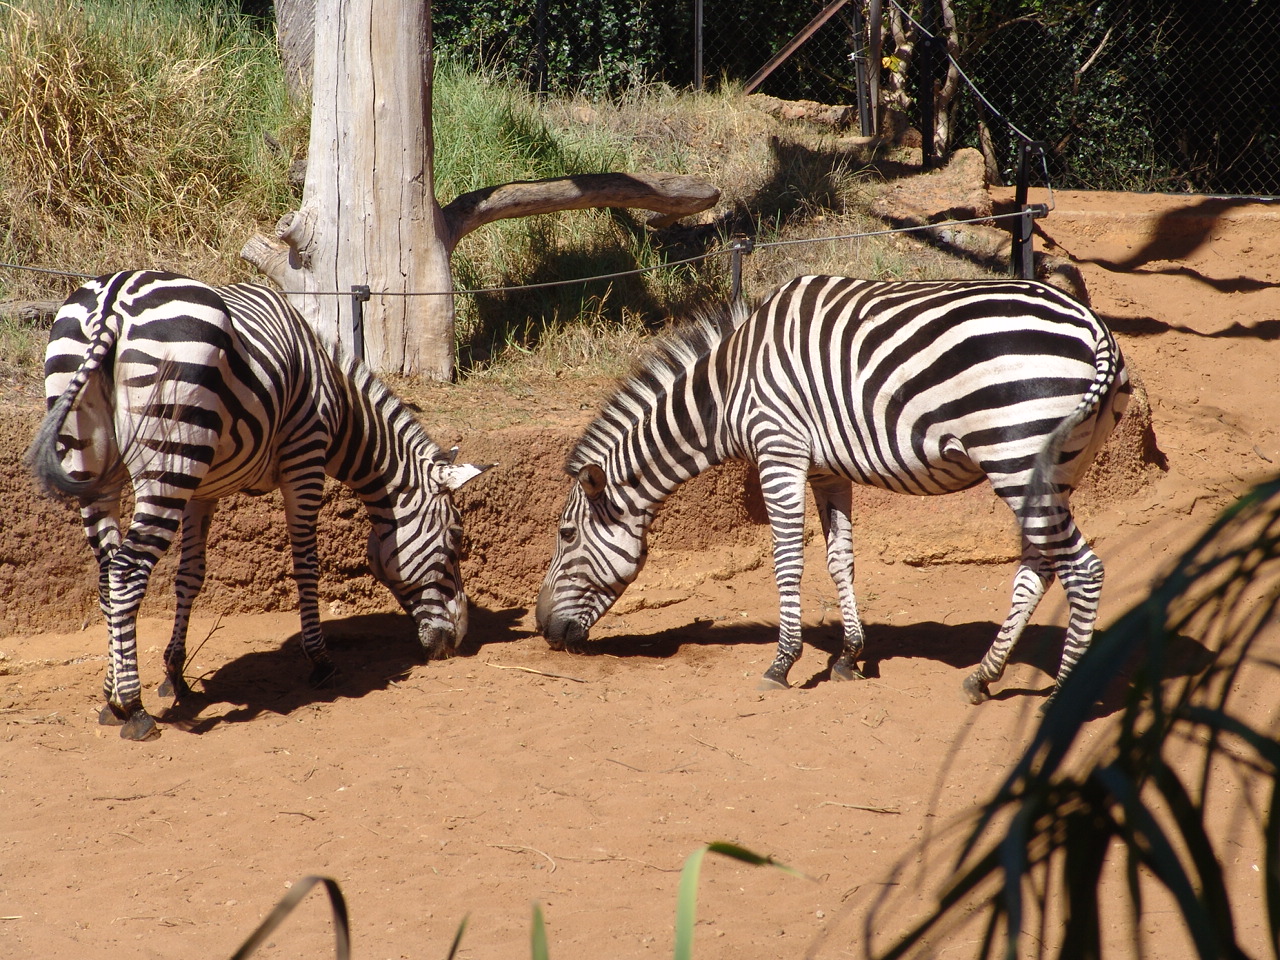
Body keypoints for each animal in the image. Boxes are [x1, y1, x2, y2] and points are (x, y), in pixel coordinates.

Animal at [26, 270, 491, 741]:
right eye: (455, 540)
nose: (458, 641)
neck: (341, 407)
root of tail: (113, 299)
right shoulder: (305, 458)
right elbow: (306, 566)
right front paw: (320, 660)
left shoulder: (202, 490)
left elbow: (190, 576)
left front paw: (175, 675)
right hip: (169, 457)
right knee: (126, 569)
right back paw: (133, 708)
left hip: (94, 458)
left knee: (107, 572)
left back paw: (111, 698)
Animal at [536, 274, 1130, 703]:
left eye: (565, 535)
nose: (543, 629)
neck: (727, 389)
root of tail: (1094, 327)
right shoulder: (827, 468)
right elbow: (839, 557)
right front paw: (848, 655)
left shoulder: (779, 449)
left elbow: (787, 559)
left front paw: (782, 662)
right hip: (1052, 468)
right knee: (1041, 566)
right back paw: (982, 676)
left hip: (1015, 453)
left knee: (1083, 569)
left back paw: (1060, 695)